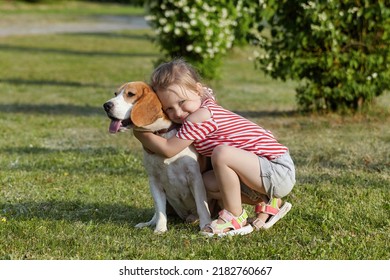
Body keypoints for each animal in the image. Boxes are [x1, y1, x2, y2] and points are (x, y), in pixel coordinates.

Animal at [103, 81, 210, 234]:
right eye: (115, 94)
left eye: (130, 94)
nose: (106, 105)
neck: (161, 135)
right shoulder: (154, 180)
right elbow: (160, 210)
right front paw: (160, 229)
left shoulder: (195, 178)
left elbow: (202, 205)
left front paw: (206, 225)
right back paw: (148, 223)